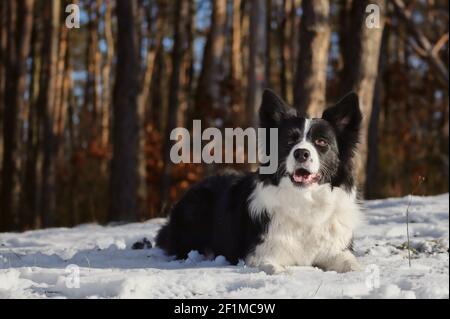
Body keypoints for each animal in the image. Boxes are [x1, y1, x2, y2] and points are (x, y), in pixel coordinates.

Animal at [156, 90, 364, 276]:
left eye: (321, 142)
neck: (304, 200)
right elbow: (273, 268)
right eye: (289, 141)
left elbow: (352, 263)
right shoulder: (260, 254)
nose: (301, 153)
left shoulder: (336, 249)